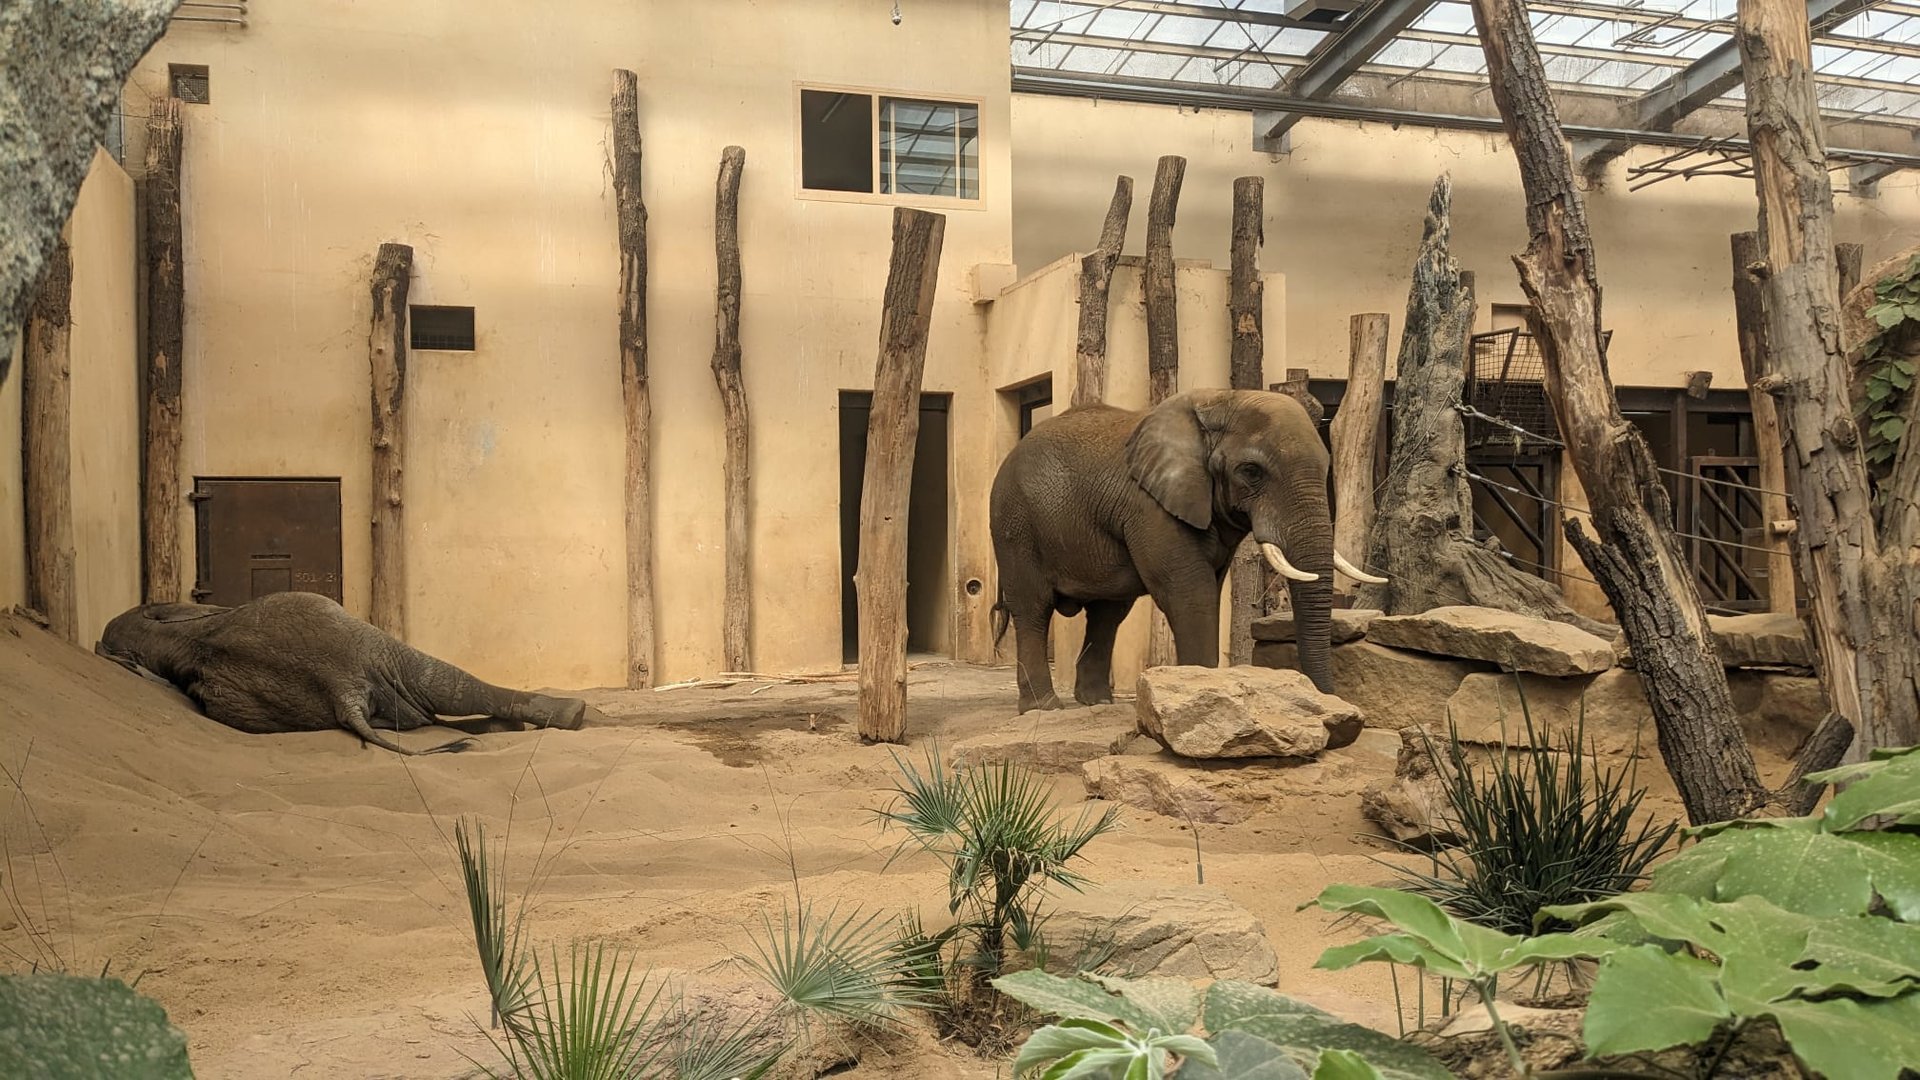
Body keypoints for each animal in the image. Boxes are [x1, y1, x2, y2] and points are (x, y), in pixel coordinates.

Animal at [988, 388, 1384, 713]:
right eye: (1251, 471)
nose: (1332, 701)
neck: (1220, 398)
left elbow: (1208, 587)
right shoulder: (1150, 507)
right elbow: (1190, 592)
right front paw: (1204, 696)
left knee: (1109, 612)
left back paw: (1096, 703)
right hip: (1014, 526)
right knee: (1034, 608)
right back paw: (1044, 708)